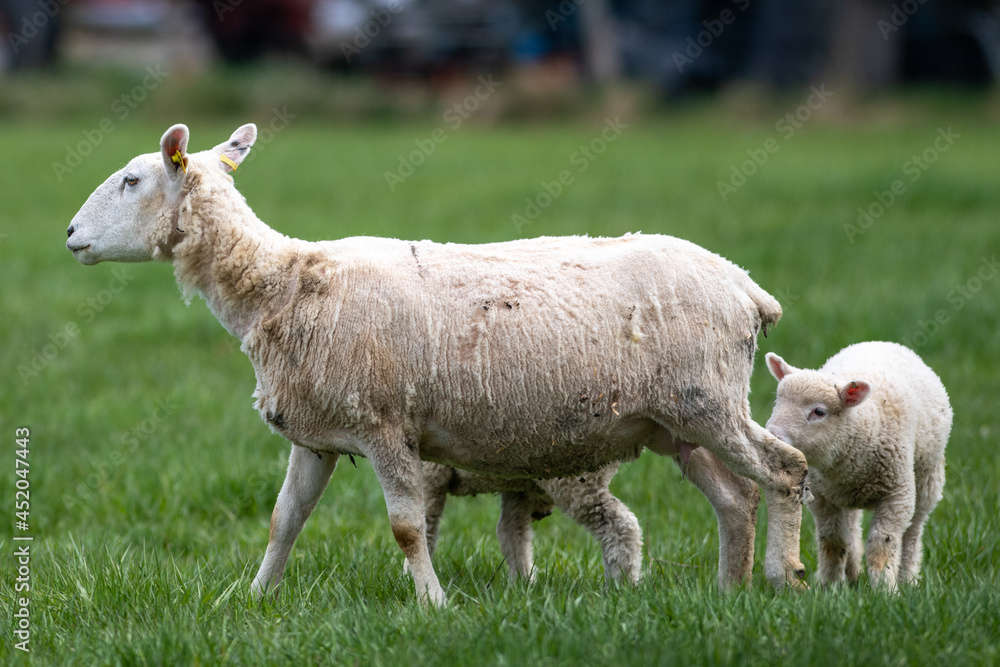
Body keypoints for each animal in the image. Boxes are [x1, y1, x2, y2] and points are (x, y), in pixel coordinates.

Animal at [66, 122, 809, 605]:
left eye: (131, 180)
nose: (70, 235)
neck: (282, 285)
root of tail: (747, 288)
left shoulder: (385, 426)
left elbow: (404, 526)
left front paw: (433, 604)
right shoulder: (316, 435)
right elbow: (285, 519)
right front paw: (252, 598)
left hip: (708, 401)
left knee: (784, 469)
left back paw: (783, 575)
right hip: (677, 421)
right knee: (735, 497)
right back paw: (730, 589)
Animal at [765, 342, 952, 591]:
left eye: (819, 411)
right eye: (778, 402)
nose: (771, 436)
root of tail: (882, 342)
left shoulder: (898, 494)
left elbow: (881, 543)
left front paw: (885, 588)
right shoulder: (822, 497)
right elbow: (833, 541)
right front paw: (831, 587)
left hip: (928, 480)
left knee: (913, 532)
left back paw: (908, 580)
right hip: (843, 494)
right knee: (852, 529)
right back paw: (852, 574)